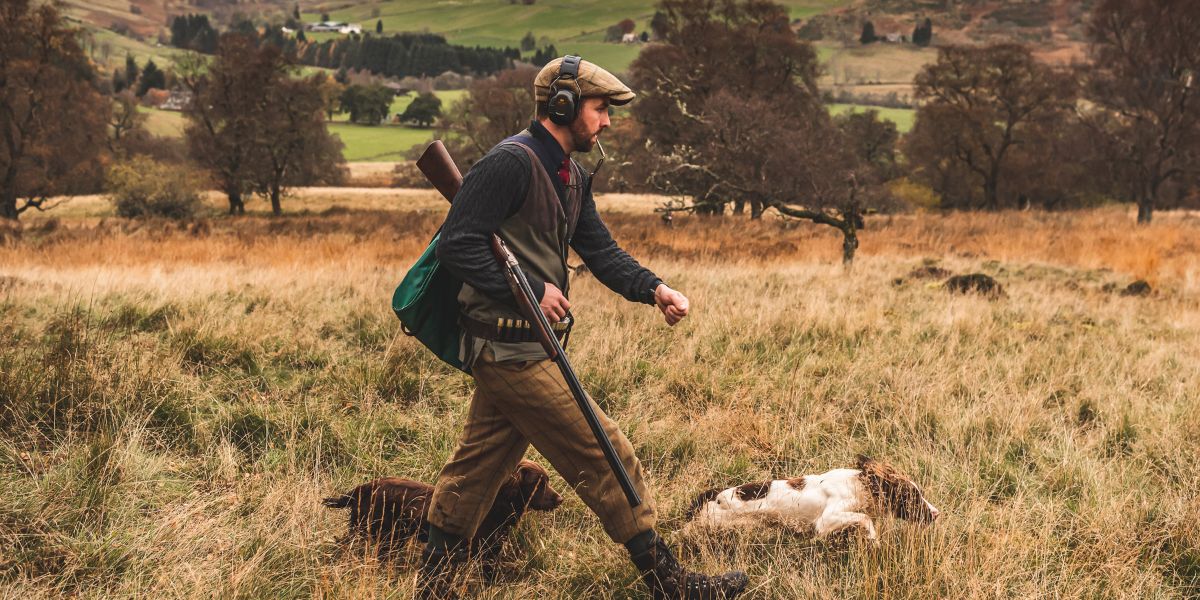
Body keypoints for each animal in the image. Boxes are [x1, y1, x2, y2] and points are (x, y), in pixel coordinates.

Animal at [319, 458, 561, 561]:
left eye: (547, 481)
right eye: (539, 483)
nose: (561, 499)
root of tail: (364, 487)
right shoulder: (480, 551)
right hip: (372, 530)